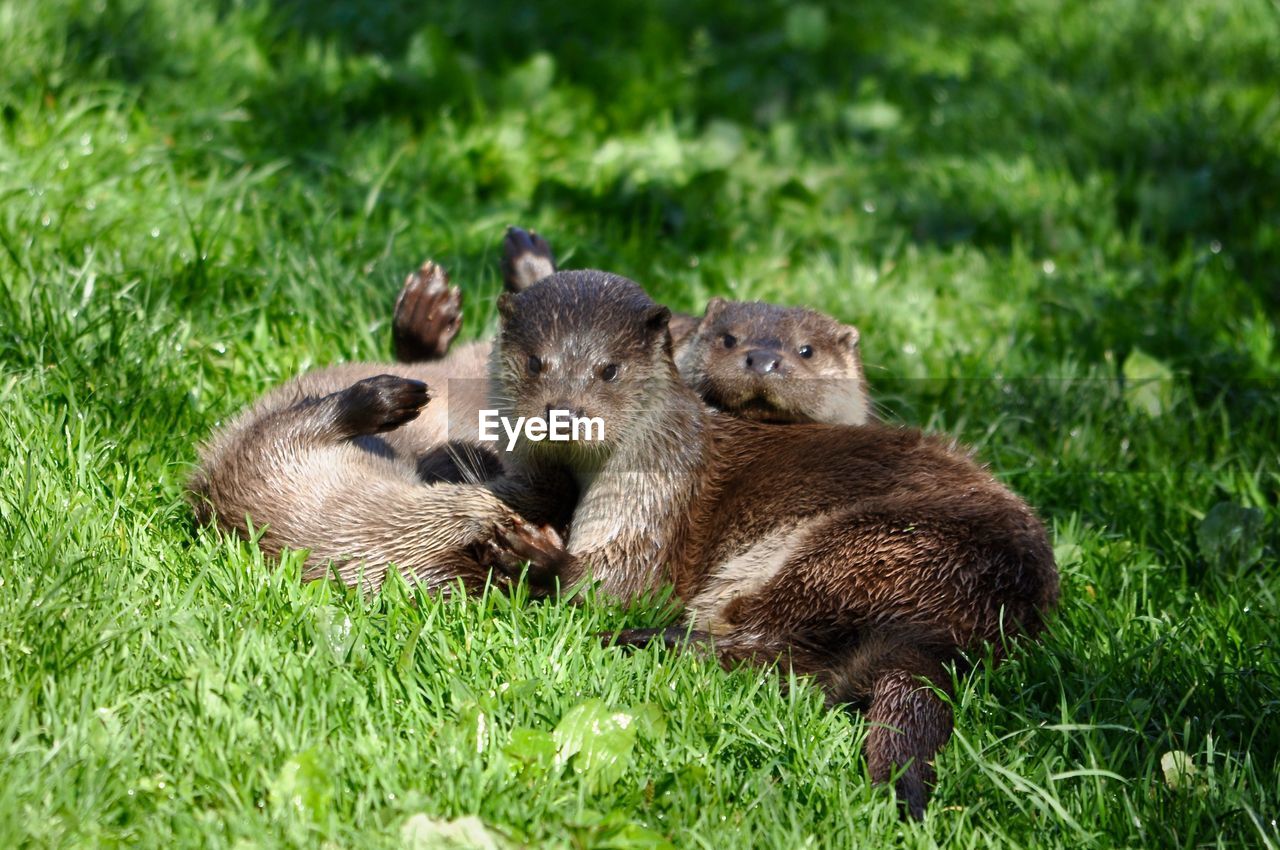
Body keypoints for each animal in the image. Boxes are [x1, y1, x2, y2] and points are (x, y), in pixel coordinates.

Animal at [483, 272, 1054, 819]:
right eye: (535, 362)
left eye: (609, 370)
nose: (564, 413)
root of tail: (962, 622)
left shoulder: (659, 497)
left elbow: (626, 585)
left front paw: (541, 558)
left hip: (864, 548)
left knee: (772, 651)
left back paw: (635, 638)